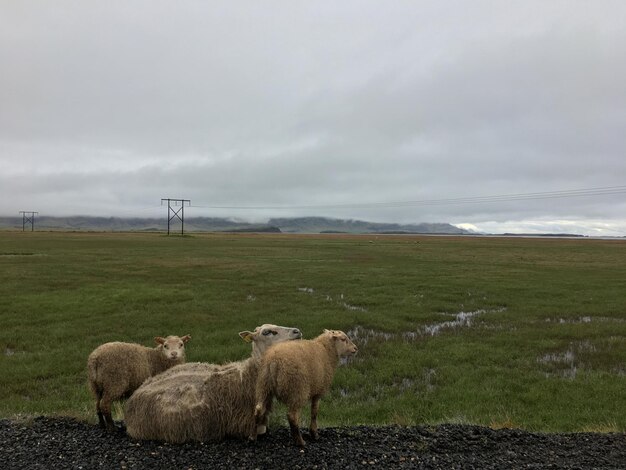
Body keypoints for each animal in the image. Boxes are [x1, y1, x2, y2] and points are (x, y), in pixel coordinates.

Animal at [122, 324, 302, 442]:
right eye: (267, 332)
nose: (297, 331)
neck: (247, 375)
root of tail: (132, 400)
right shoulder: (244, 424)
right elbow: (261, 429)